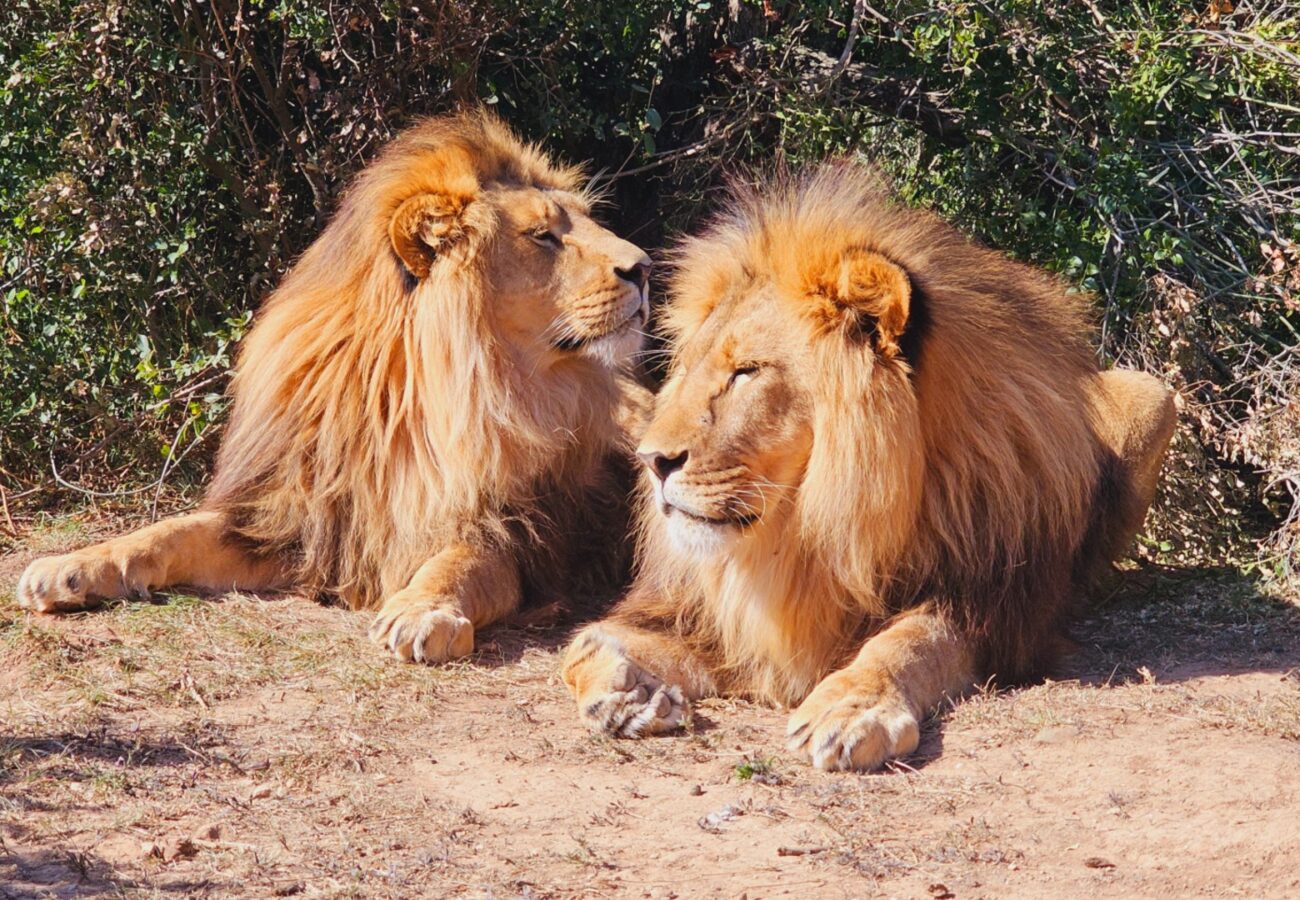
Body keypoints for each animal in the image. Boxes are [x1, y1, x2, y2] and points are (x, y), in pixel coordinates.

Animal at [18, 110, 654, 664]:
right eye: (542, 235)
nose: (645, 266)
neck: (420, 396)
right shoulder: (294, 517)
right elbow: (166, 533)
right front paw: (69, 567)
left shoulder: (516, 528)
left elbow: (461, 563)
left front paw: (422, 610)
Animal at [561, 162, 1176, 769]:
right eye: (688, 368)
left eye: (746, 372)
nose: (651, 461)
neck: (807, 531)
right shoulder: (699, 616)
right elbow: (583, 643)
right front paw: (623, 694)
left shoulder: (993, 605)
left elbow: (910, 642)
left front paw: (853, 707)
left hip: (1153, 394)